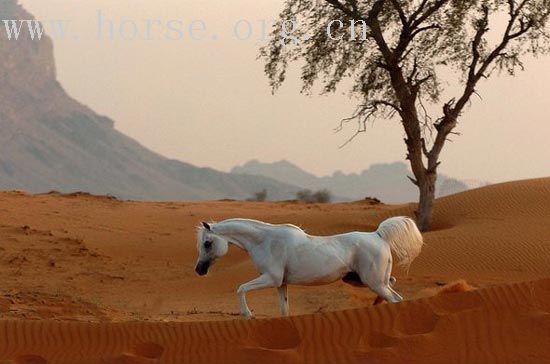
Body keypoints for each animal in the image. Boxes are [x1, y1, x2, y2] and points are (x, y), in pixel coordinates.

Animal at [196, 216, 424, 318]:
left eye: (207, 243)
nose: (199, 270)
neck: (264, 240)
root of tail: (378, 235)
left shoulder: (271, 278)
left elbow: (241, 288)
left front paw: (248, 315)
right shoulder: (281, 284)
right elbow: (284, 310)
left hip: (373, 282)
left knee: (395, 298)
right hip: (362, 280)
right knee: (393, 290)